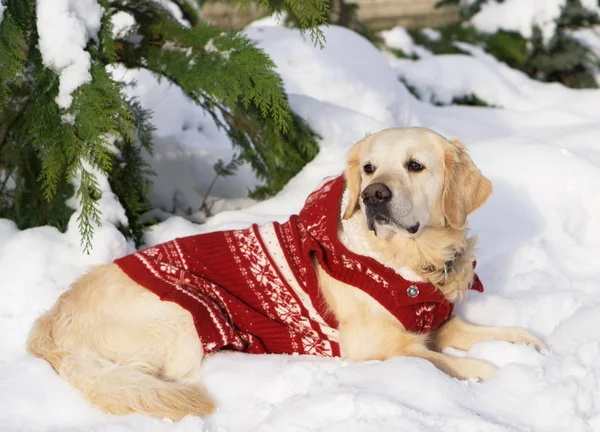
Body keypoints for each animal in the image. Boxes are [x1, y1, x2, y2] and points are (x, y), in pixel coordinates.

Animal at [27, 126, 544, 420]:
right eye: (370, 168)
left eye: (415, 166)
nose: (374, 195)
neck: (411, 259)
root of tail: (50, 321)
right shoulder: (376, 347)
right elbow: (440, 361)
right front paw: (492, 374)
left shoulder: (438, 321)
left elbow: (481, 332)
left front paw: (526, 344)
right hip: (186, 318)